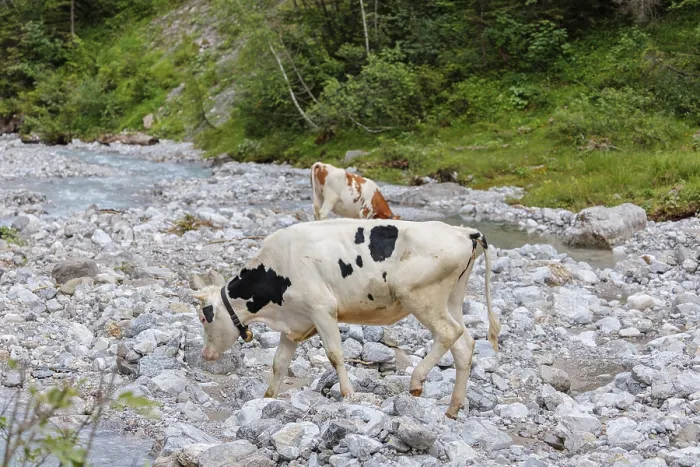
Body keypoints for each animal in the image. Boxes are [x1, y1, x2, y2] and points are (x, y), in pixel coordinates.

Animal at [193, 218, 500, 419]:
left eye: (205, 319)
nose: (205, 354)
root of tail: (463, 231)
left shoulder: (322, 309)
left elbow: (334, 354)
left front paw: (349, 393)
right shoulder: (295, 322)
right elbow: (279, 363)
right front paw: (268, 397)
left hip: (420, 297)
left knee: (448, 333)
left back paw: (416, 382)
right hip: (451, 299)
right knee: (464, 344)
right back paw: (452, 408)